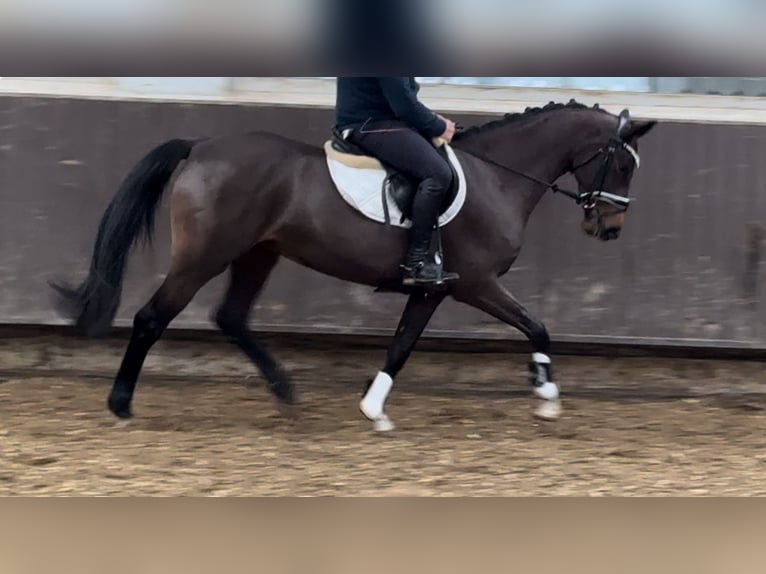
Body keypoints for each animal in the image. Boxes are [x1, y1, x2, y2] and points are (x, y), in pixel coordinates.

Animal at [51, 100, 656, 432]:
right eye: (623, 164)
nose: (609, 228)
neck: (497, 177)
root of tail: (199, 147)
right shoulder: (475, 284)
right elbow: (537, 326)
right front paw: (547, 399)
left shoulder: (433, 290)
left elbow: (401, 345)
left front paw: (374, 410)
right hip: (205, 255)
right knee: (153, 318)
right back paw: (121, 405)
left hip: (257, 252)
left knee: (232, 317)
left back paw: (286, 393)